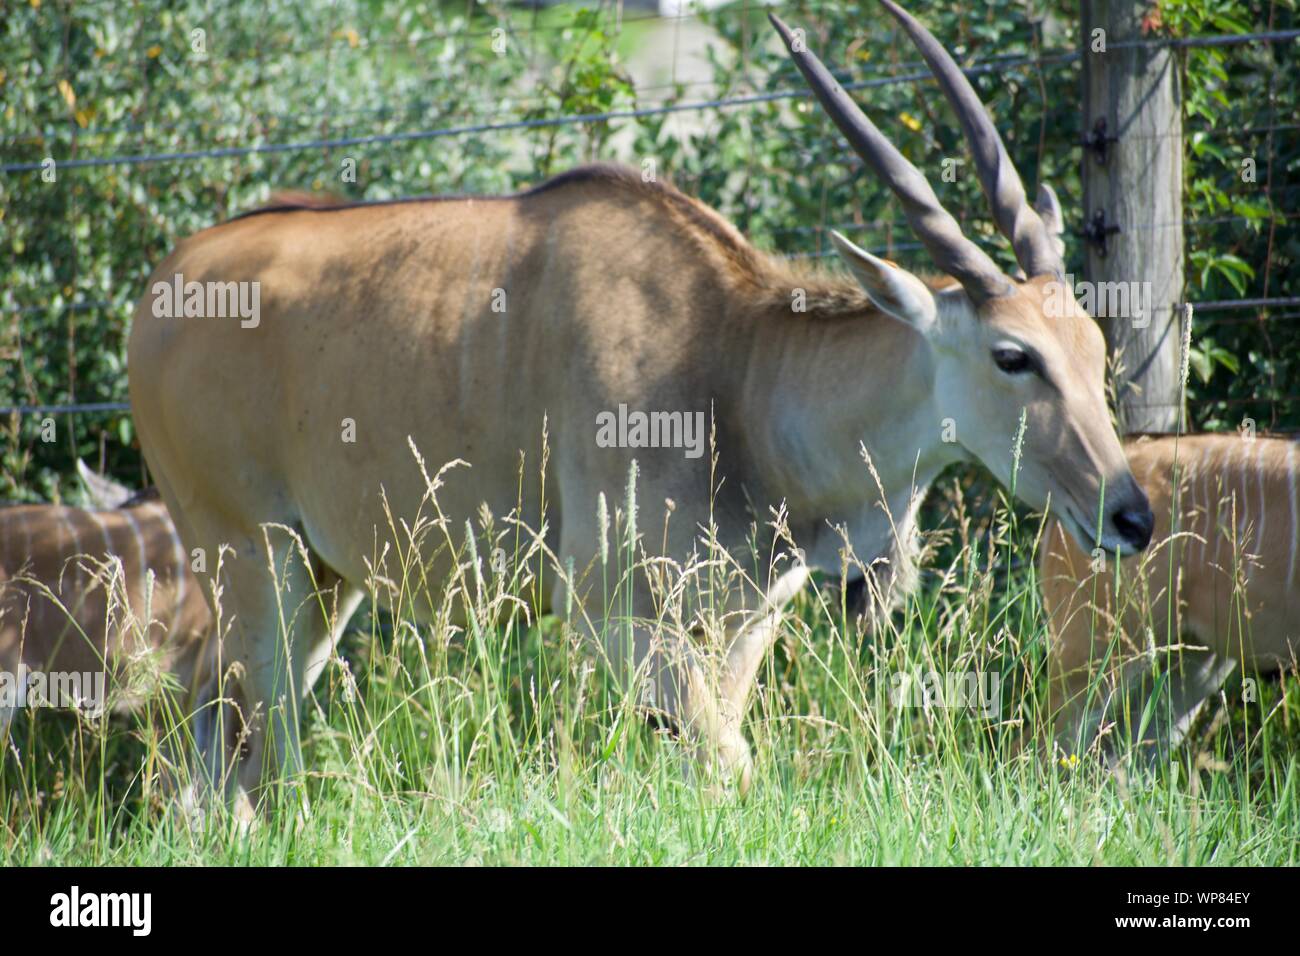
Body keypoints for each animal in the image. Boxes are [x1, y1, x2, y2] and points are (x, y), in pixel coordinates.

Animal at [126, 0, 1154, 806]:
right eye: (1013, 356)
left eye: (1095, 348)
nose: (1131, 515)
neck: (735, 367)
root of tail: (164, 287)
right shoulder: (609, 612)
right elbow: (729, 766)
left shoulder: (745, 618)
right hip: (253, 557)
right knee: (265, 758)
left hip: (321, 579)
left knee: (215, 757)